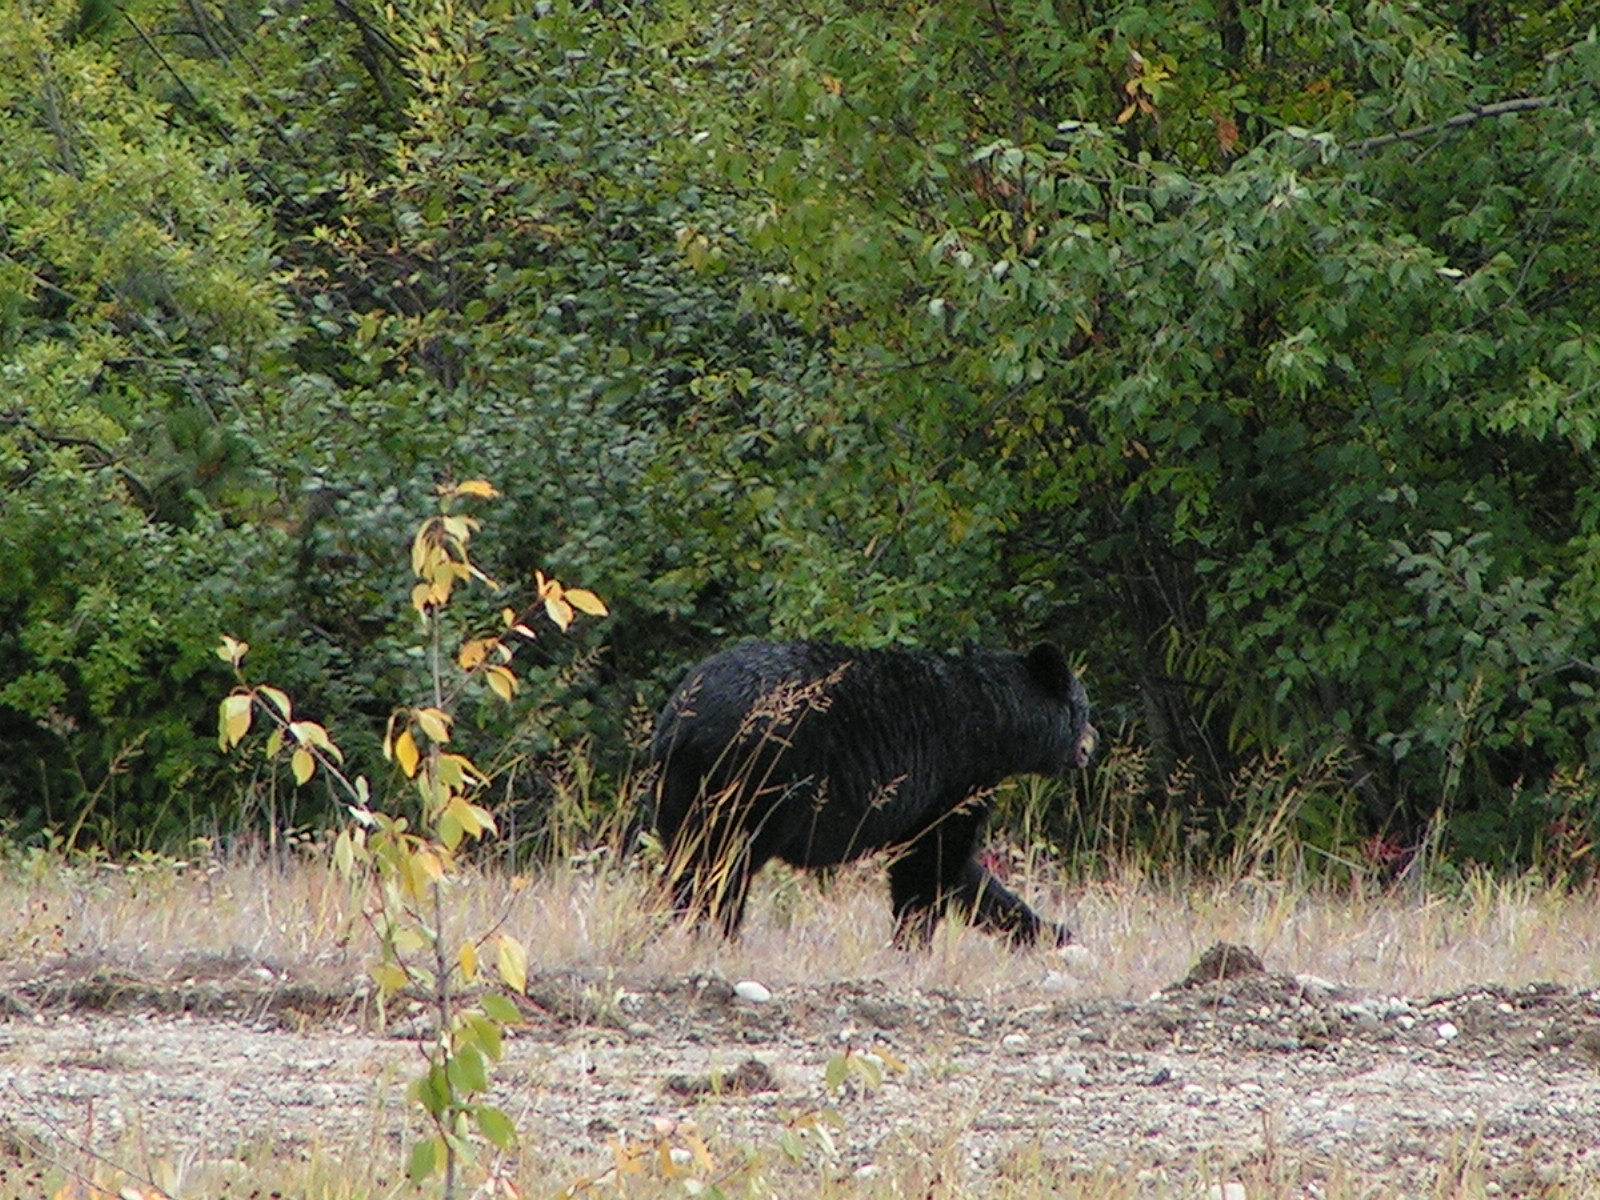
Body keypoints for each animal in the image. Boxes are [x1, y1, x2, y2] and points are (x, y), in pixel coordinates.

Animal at [648, 640, 1096, 946]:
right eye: (1083, 709)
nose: (1091, 744)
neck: (998, 720)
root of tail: (682, 721)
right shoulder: (956, 773)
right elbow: (933, 861)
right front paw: (911, 941)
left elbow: (965, 875)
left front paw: (1050, 931)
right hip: (751, 781)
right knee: (721, 865)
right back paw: (718, 931)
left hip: (680, 786)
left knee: (690, 860)